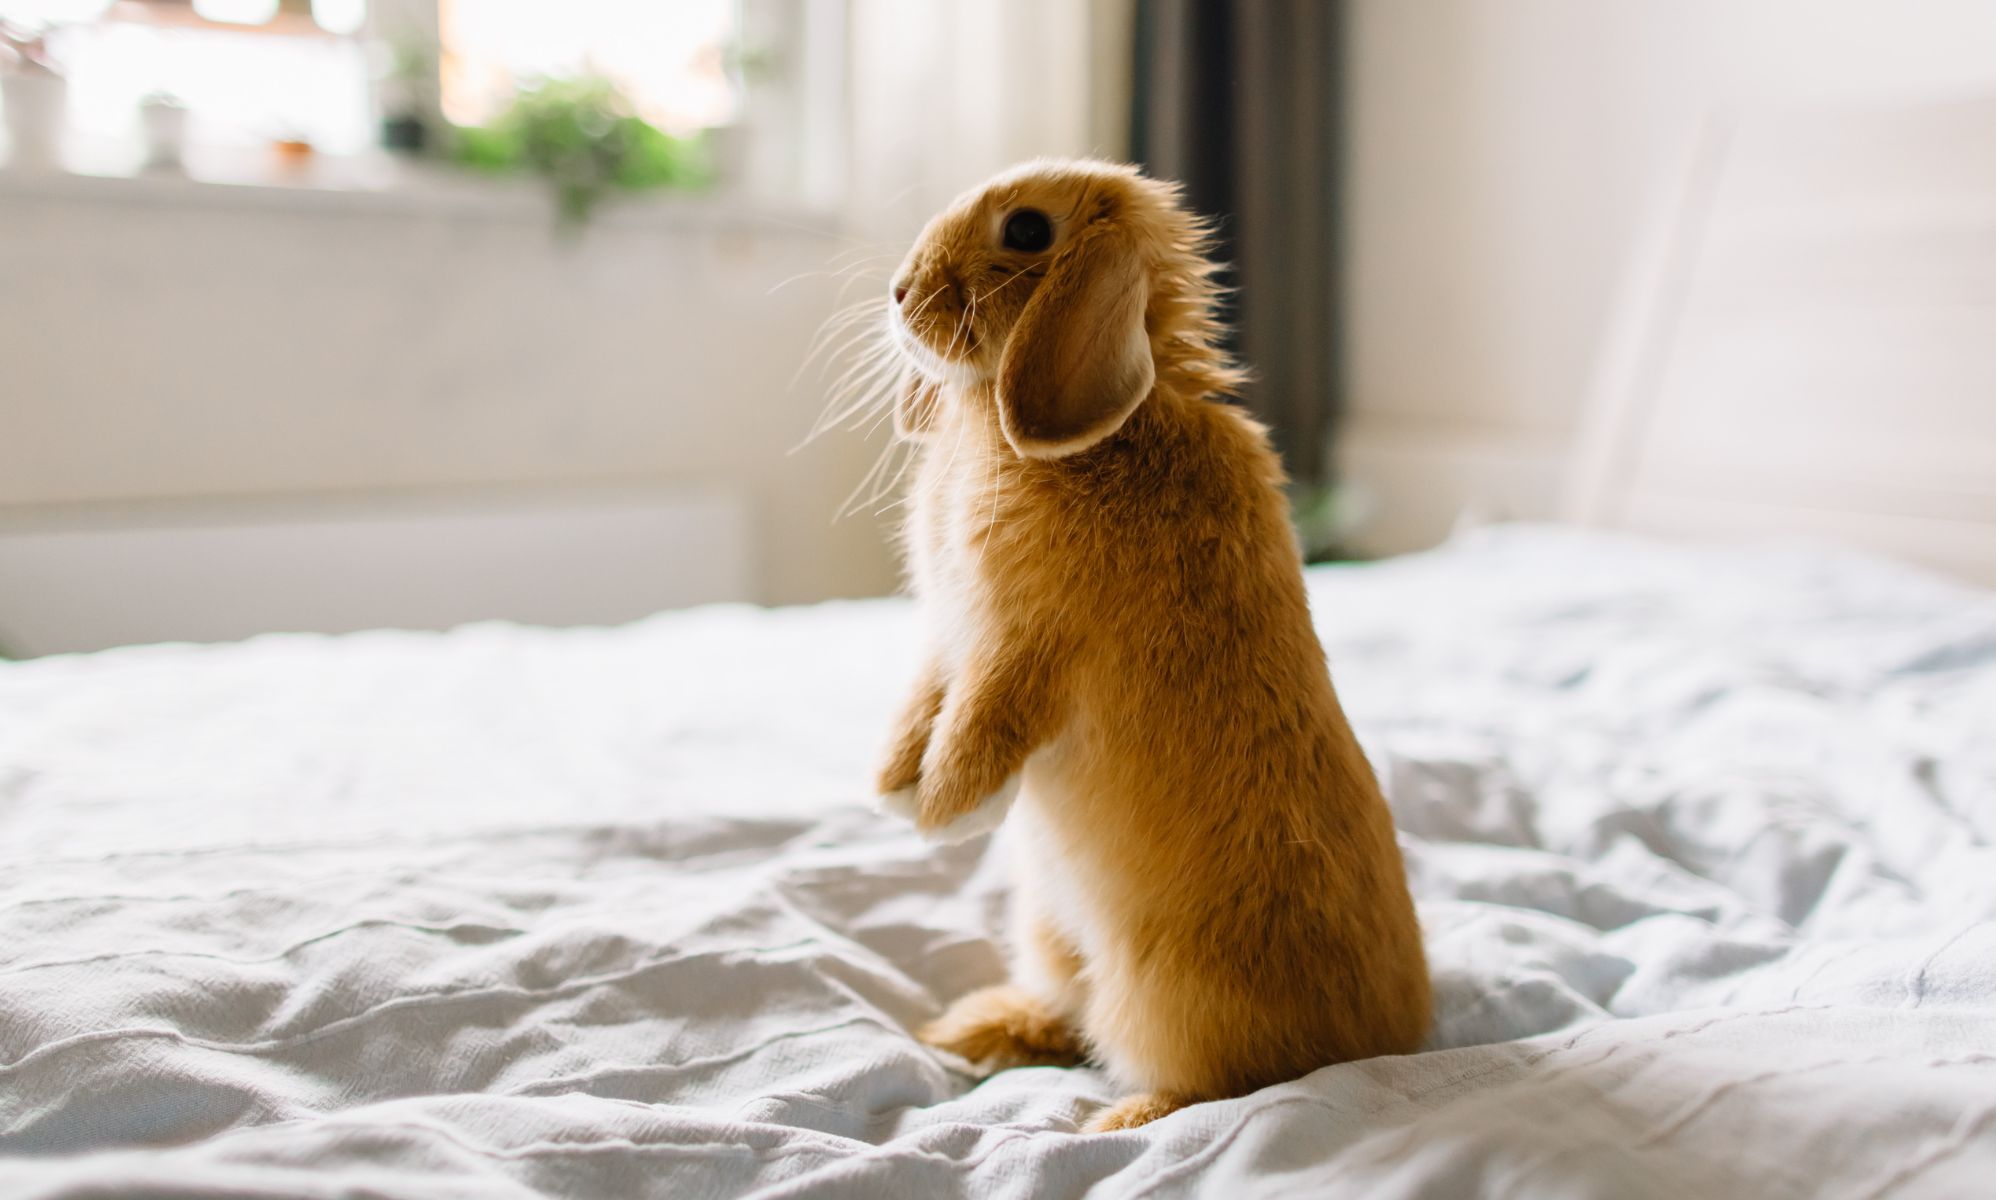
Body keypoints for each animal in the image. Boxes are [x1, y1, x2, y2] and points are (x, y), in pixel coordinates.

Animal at [868, 158, 1431, 1132]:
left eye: (1027, 230)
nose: (900, 292)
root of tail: (1392, 1037)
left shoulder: (1025, 646)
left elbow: (982, 722)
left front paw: (942, 811)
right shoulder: (950, 634)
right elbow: (924, 702)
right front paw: (894, 788)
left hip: (1173, 989)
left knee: (1227, 1079)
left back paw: (1121, 1119)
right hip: (1049, 930)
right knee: (1070, 1013)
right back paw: (976, 1030)